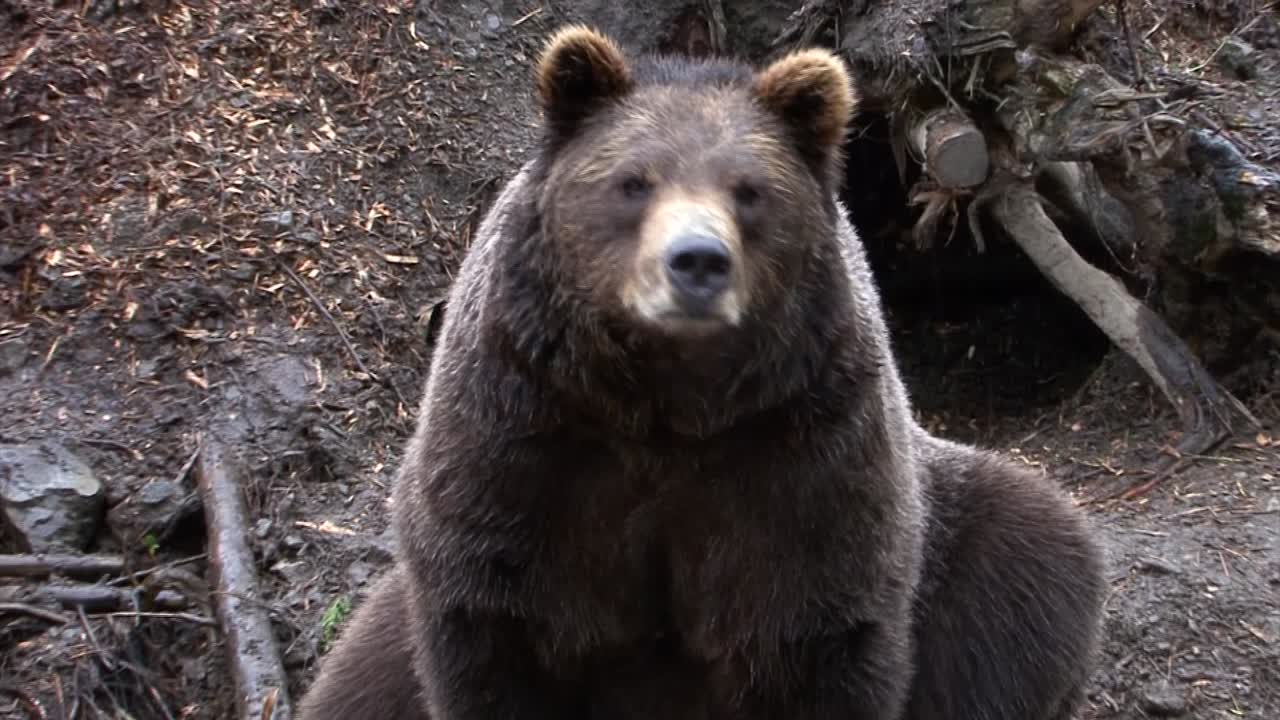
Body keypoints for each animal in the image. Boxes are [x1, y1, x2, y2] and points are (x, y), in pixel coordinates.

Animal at [297, 25, 1106, 720]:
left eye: (749, 189)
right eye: (633, 181)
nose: (696, 262)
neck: (666, 406)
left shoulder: (800, 458)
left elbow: (815, 631)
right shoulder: (522, 440)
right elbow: (494, 630)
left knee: (1033, 563)